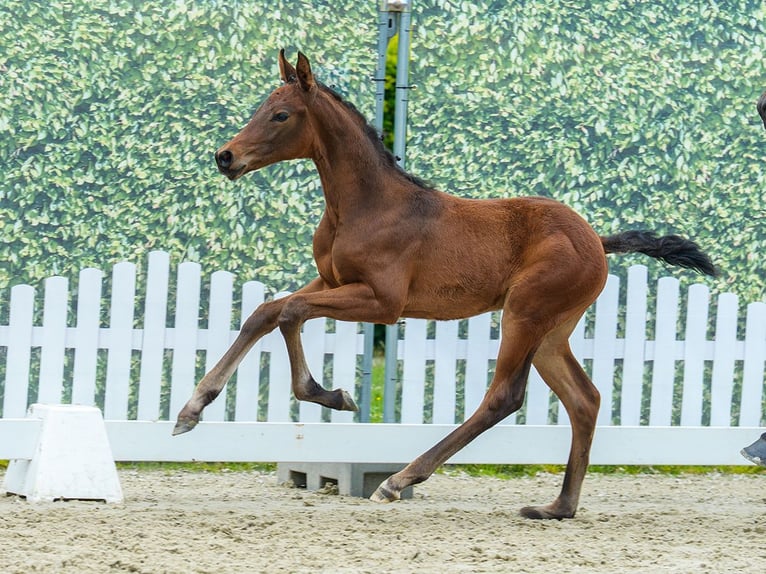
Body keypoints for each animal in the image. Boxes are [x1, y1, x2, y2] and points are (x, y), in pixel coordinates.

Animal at [174, 50, 716, 519]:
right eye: (261, 108)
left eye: (281, 115)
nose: (225, 157)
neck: (367, 204)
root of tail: (597, 241)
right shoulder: (331, 279)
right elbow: (265, 312)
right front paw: (190, 411)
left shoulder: (383, 303)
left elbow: (291, 313)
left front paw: (332, 395)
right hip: (551, 332)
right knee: (585, 400)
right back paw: (557, 507)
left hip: (524, 314)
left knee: (503, 398)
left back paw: (400, 480)